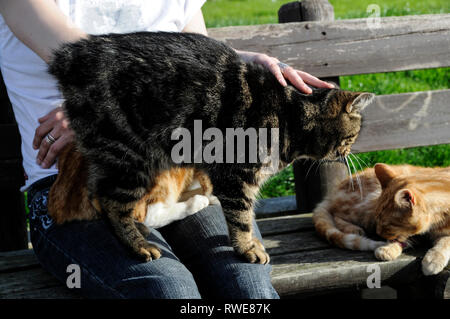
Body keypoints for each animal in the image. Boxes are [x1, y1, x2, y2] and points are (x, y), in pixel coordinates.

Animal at [47, 31, 374, 264]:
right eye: (352, 137)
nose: (350, 153)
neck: (290, 115)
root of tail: (70, 57)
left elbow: (246, 215)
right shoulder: (236, 174)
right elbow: (241, 217)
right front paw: (247, 249)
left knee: (101, 196)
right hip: (130, 158)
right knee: (113, 203)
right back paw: (139, 245)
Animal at [312, 164, 450, 276]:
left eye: (388, 224)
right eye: (377, 218)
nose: (378, 233)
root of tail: (333, 192)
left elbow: (445, 241)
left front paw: (433, 259)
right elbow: (402, 239)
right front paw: (388, 248)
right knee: (336, 213)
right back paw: (353, 228)